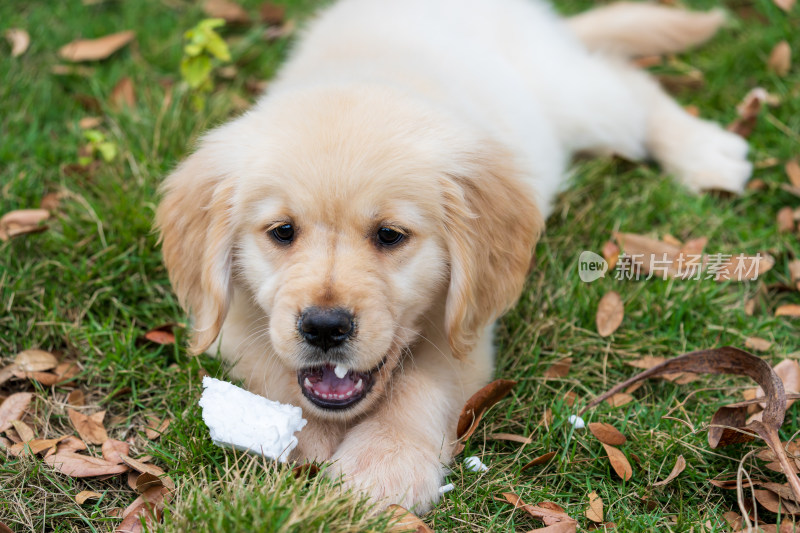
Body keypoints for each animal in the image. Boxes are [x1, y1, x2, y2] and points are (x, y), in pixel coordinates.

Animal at [156, 0, 752, 512]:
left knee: (626, 84)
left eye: (390, 235)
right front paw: (300, 437)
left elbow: (419, 388)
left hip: (574, 101)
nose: (324, 328)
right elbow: (270, 367)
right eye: (282, 232)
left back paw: (707, 152)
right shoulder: (231, 322)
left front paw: (381, 469)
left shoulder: (464, 330)